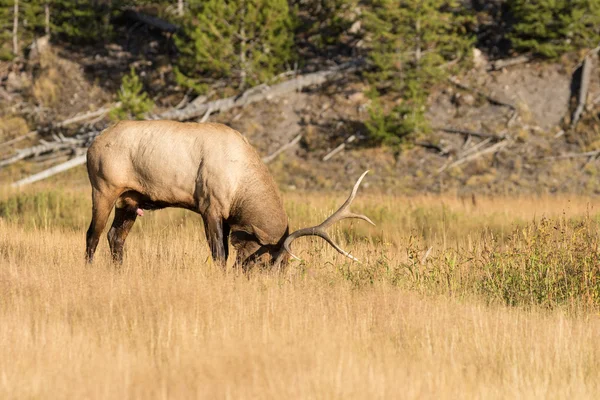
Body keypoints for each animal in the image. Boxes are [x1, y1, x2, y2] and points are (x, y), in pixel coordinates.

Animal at [85, 119, 376, 268]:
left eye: (286, 265)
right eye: (265, 262)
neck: (240, 186)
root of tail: (91, 144)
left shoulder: (225, 216)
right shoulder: (209, 205)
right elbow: (219, 254)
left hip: (131, 199)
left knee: (115, 237)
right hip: (104, 188)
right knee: (92, 235)